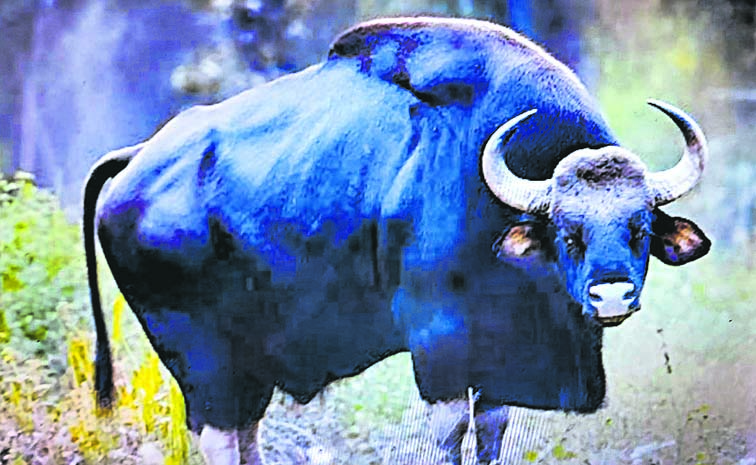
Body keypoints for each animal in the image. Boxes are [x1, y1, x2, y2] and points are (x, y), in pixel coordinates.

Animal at [83, 17, 710, 465]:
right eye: (568, 233)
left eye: (640, 227)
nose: (612, 296)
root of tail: (137, 159)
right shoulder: (439, 344)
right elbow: (449, 434)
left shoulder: (501, 357)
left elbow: (491, 432)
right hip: (202, 359)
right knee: (218, 436)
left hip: (247, 366)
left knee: (246, 432)